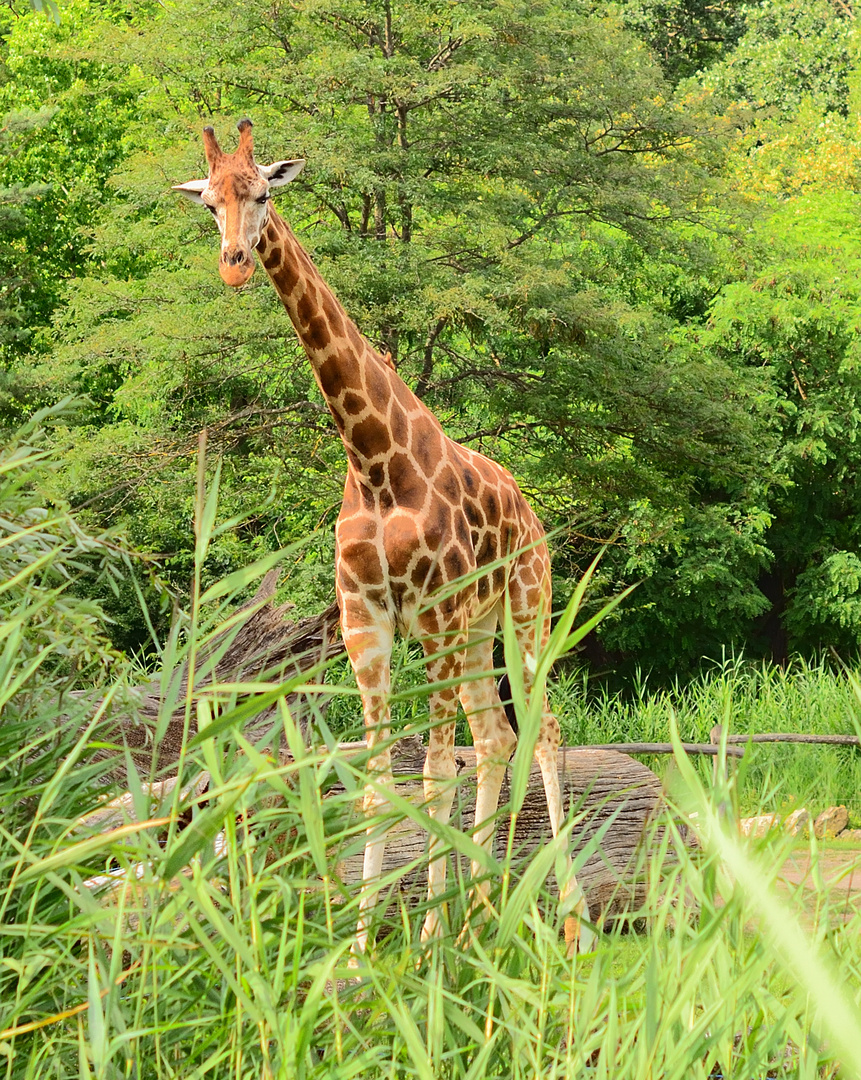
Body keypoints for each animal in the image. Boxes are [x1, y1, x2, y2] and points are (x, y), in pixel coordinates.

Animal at [175, 122, 592, 959]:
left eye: (261, 193)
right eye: (208, 202)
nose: (234, 264)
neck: (373, 463)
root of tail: (530, 514)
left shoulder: (429, 616)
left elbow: (430, 774)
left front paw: (425, 940)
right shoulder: (365, 622)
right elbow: (375, 780)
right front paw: (364, 946)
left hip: (524, 609)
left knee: (542, 730)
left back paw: (563, 923)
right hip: (476, 631)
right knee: (493, 737)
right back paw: (483, 914)